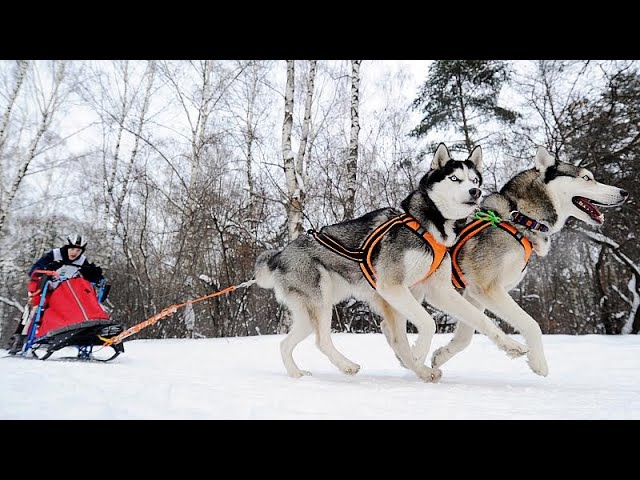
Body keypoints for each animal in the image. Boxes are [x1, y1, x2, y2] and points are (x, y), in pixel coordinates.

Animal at [255, 143, 528, 382]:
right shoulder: (392, 287)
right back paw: (348, 366)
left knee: (285, 344)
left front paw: (512, 345)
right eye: (454, 178)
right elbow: (427, 324)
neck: (429, 226)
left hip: (310, 312)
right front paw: (417, 356)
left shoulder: (438, 291)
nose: (476, 192)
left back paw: (296, 374)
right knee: (322, 341)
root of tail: (280, 255)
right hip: (321, 302)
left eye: (474, 180)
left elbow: (481, 320)